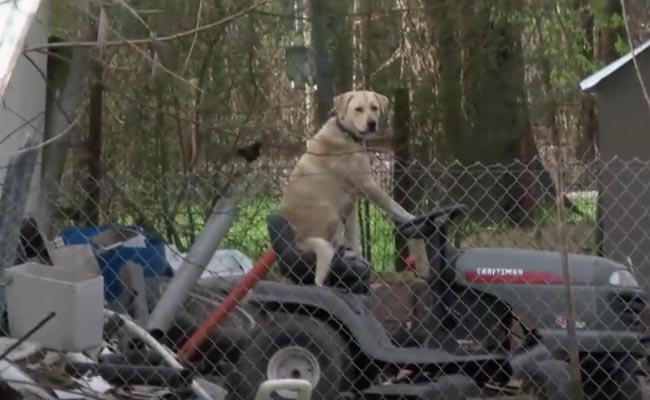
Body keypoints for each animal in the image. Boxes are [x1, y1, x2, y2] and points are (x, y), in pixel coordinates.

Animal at [276, 90, 412, 288]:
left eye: (374, 108)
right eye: (358, 109)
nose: (372, 123)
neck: (346, 134)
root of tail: (298, 241)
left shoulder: (352, 203)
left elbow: (353, 236)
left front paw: (358, 256)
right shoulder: (368, 185)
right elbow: (395, 207)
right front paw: (411, 218)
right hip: (328, 211)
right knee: (327, 246)